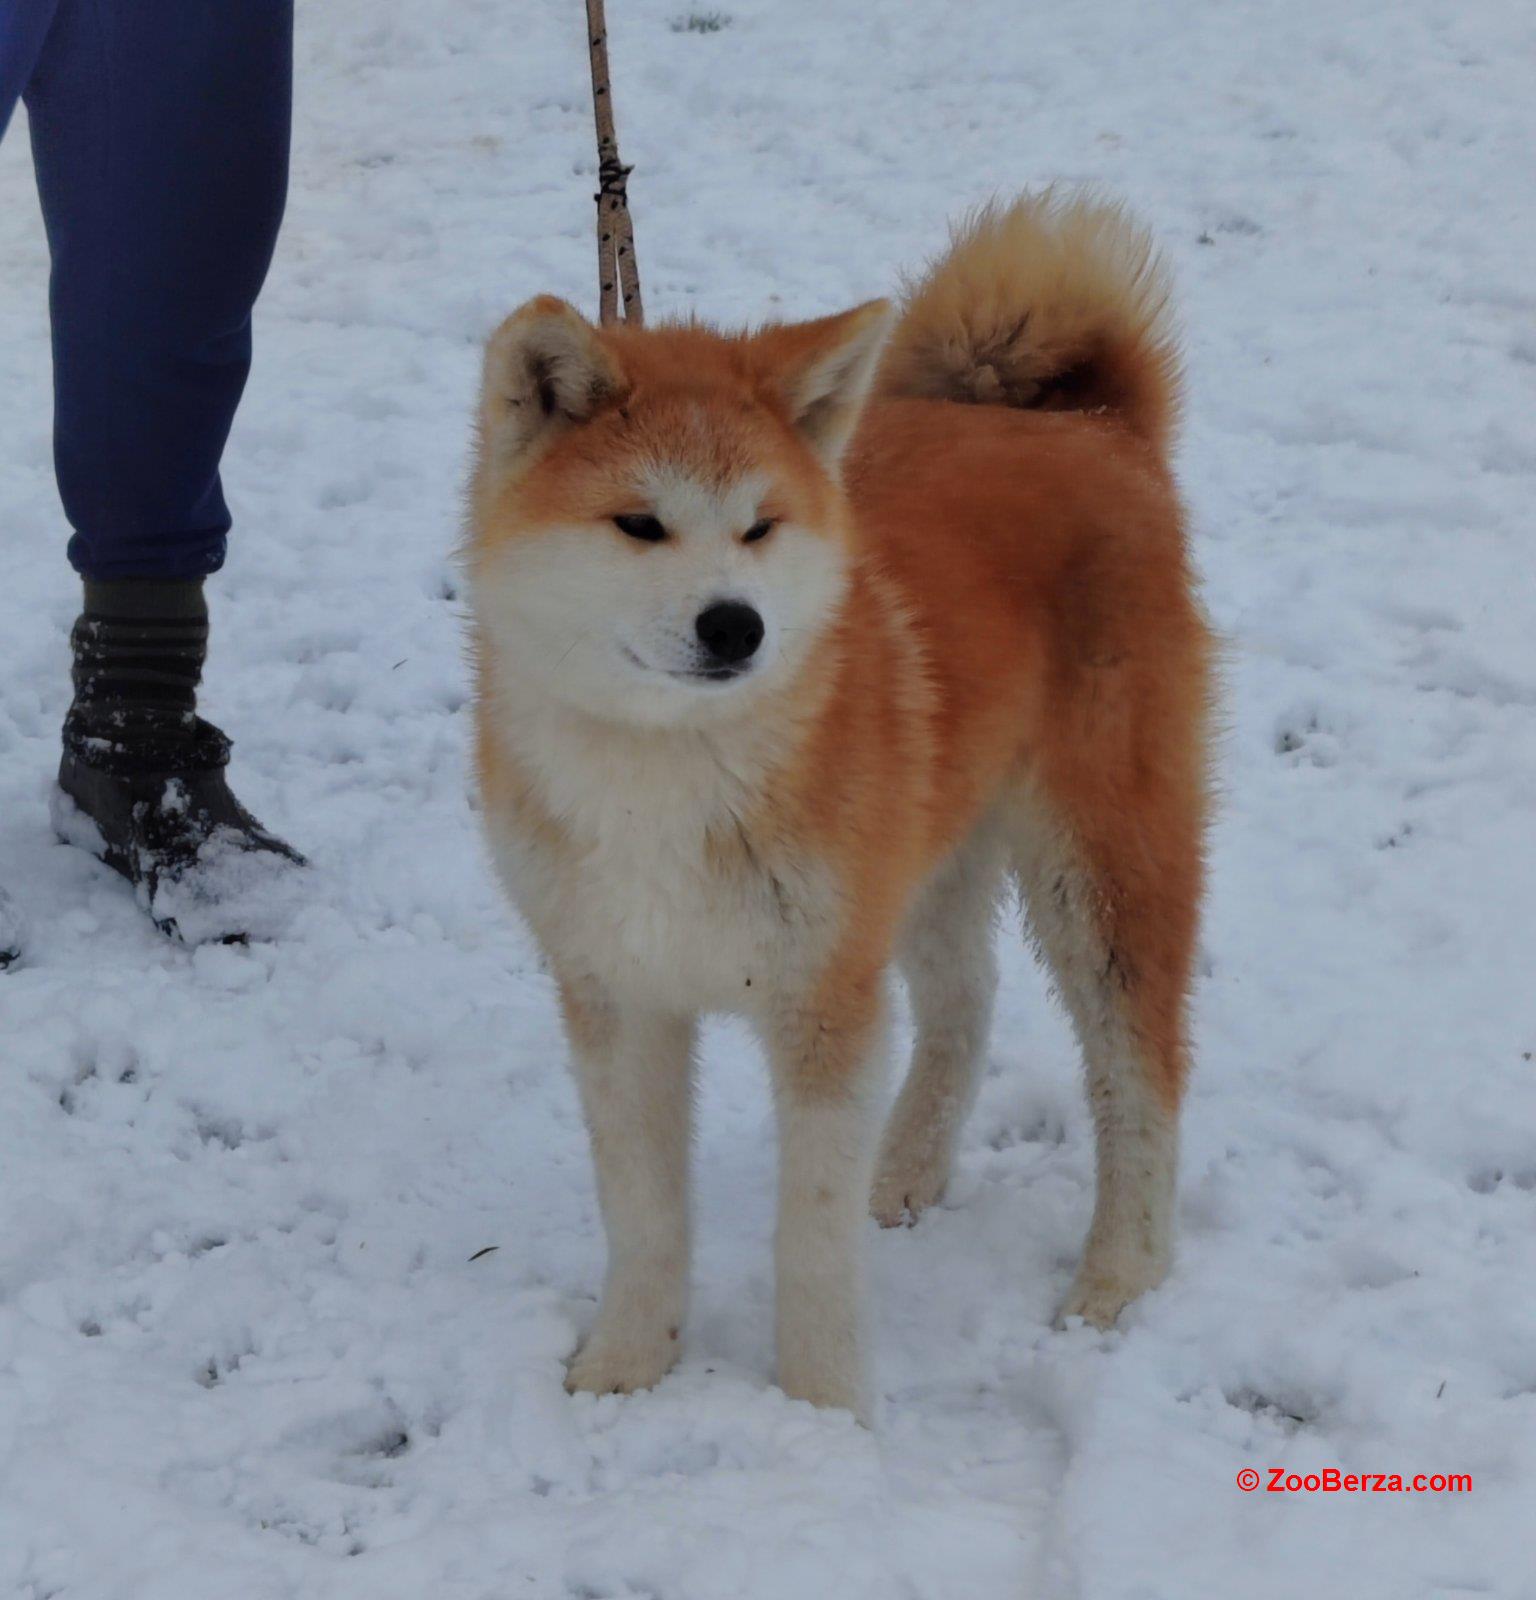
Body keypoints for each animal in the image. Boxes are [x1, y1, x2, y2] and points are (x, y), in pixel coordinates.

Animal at [467, 193, 1209, 1420]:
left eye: (761, 525)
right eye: (639, 524)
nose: (736, 625)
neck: (668, 779)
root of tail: (1092, 428)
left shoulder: (823, 1001)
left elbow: (807, 1242)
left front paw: (818, 1412)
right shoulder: (615, 991)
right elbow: (644, 1213)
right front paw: (625, 1368)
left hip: (1098, 863)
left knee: (1139, 1070)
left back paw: (1120, 1275)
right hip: (928, 853)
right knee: (966, 1000)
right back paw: (906, 1167)